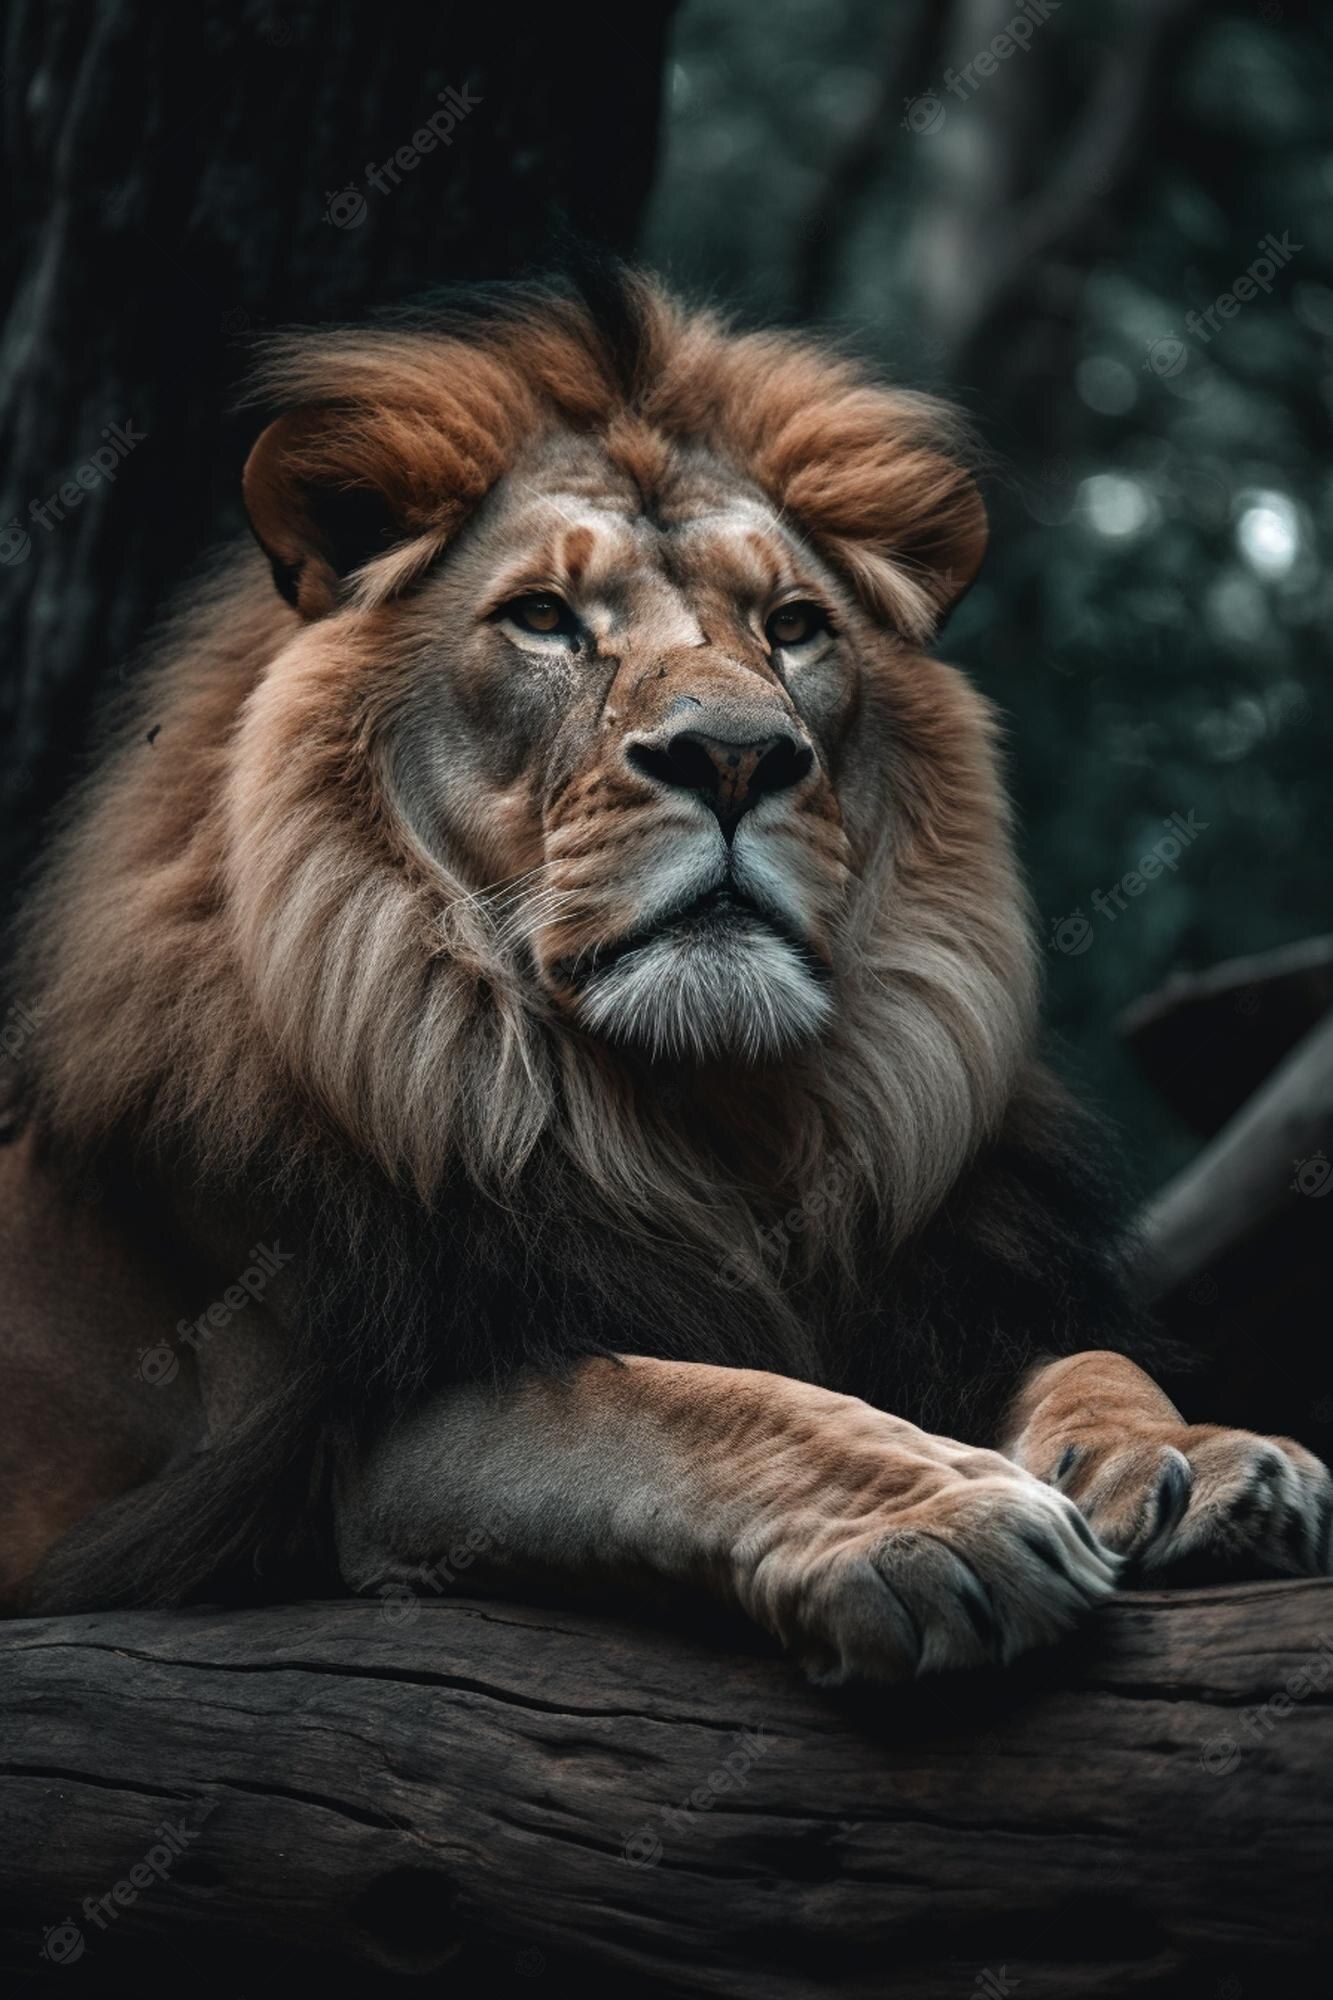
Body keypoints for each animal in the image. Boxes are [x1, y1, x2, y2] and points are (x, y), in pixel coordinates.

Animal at [2, 270, 1329, 1685]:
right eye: (542, 619)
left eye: (793, 628)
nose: (737, 756)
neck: (710, 1120)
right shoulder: (327, 1442)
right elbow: (673, 1399)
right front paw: (943, 1512)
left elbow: (1083, 1352)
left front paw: (1196, 1457)